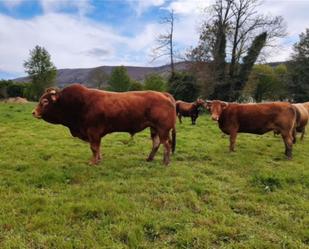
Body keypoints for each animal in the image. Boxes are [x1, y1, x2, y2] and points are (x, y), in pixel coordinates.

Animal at [31, 83, 176, 165]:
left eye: (45, 101)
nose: (33, 112)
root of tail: (163, 94)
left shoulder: (93, 131)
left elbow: (94, 147)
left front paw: (93, 161)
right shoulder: (94, 134)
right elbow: (97, 147)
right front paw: (98, 159)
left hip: (163, 129)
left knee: (166, 144)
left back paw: (166, 162)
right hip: (154, 128)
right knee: (156, 143)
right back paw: (149, 159)